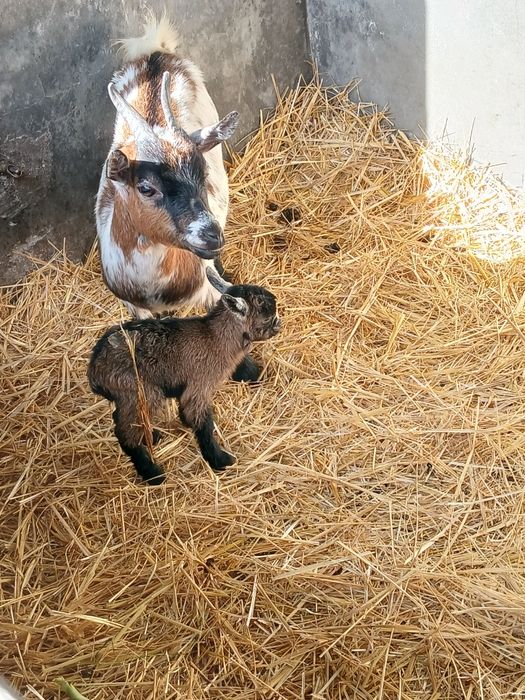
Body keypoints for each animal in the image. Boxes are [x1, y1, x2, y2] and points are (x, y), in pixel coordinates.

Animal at [88, 268, 280, 484]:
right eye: (266, 316)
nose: (278, 325)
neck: (215, 338)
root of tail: (94, 371)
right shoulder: (199, 387)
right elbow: (202, 422)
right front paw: (220, 460)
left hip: (129, 397)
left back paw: (151, 436)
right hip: (140, 390)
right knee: (126, 433)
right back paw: (152, 474)